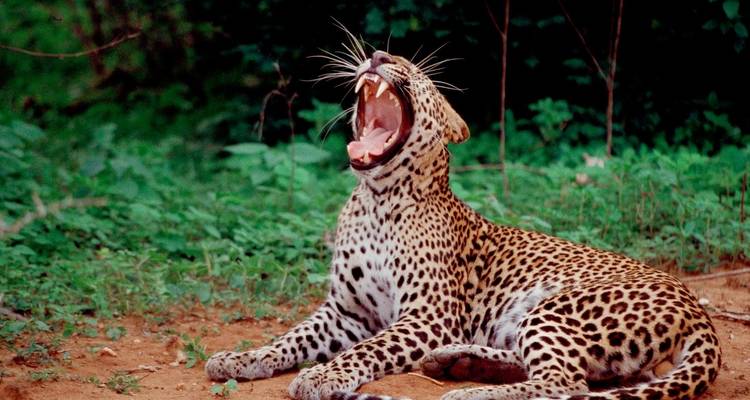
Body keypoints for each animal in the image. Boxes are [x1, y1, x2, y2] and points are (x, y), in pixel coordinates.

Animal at [205, 39, 721, 400]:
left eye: (414, 71)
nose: (377, 54)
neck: (375, 201)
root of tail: (698, 309)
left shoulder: (426, 314)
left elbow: (366, 349)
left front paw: (325, 374)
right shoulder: (347, 311)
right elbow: (288, 339)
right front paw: (240, 359)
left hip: (556, 308)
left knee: (565, 382)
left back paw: (469, 389)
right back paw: (458, 363)